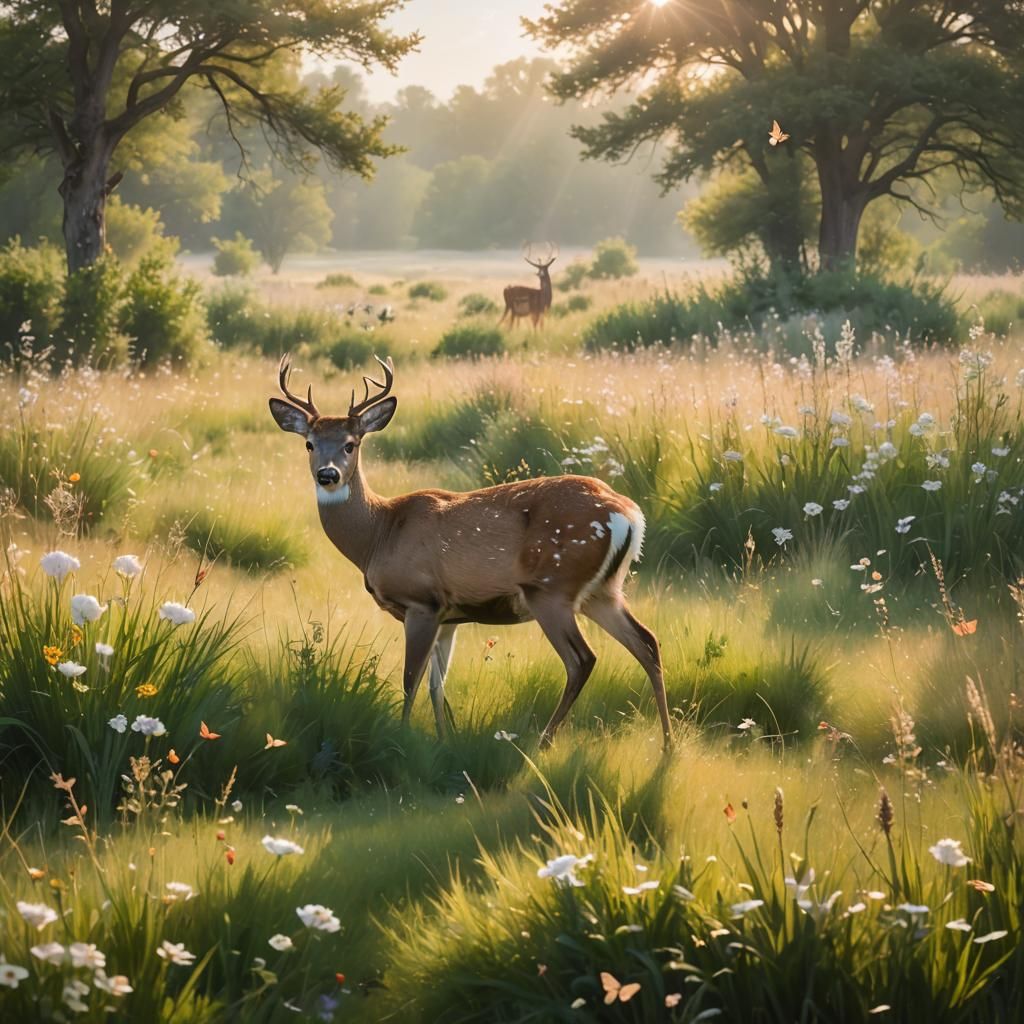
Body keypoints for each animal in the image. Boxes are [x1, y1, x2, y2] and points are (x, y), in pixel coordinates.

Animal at [268, 354, 671, 749]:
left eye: (352, 443)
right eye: (309, 443)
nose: (328, 475)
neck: (378, 534)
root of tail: (628, 514)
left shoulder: (422, 601)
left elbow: (410, 680)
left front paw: (402, 738)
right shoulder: (449, 615)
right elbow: (437, 686)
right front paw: (443, 741)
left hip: (552, 588)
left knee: (582, 659)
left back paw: (544, 742)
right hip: (602, 591)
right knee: (647, 642)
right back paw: (667, 745)